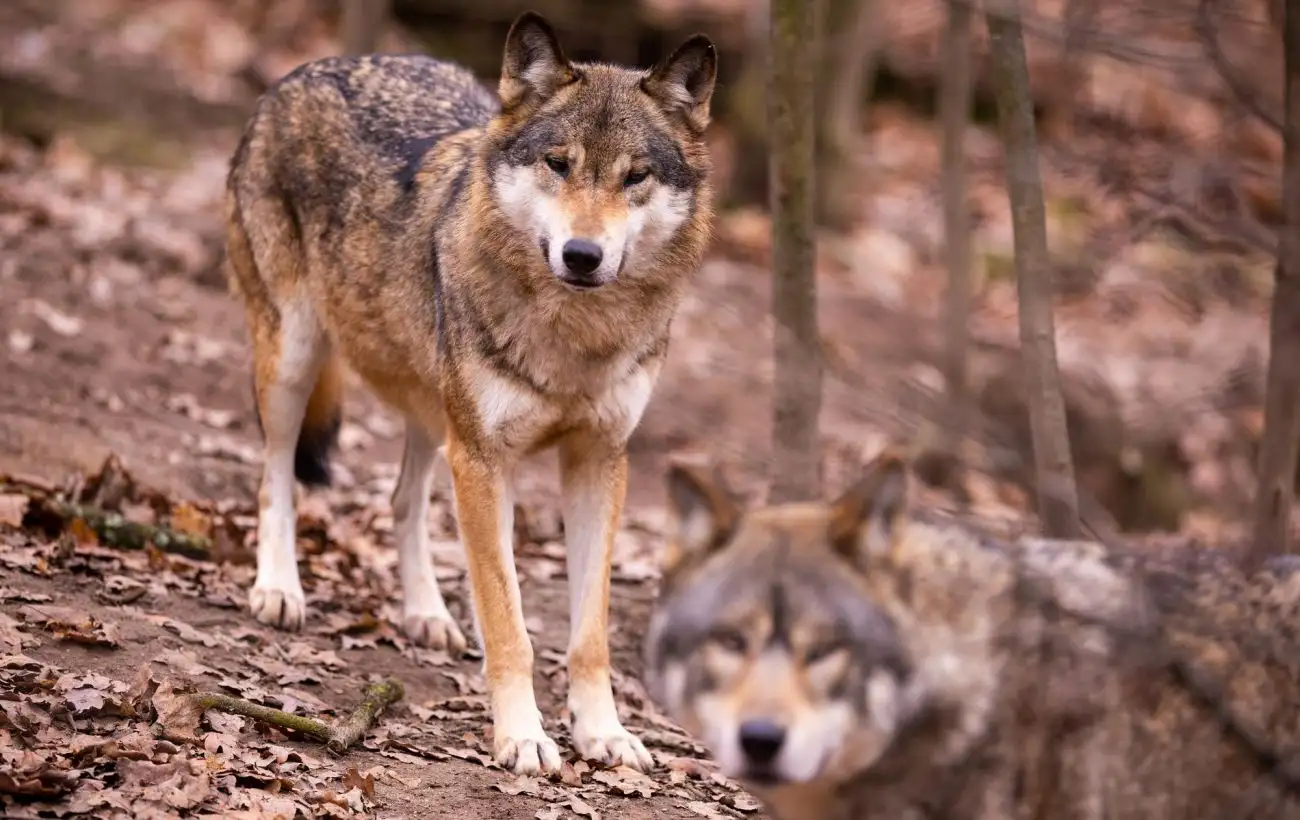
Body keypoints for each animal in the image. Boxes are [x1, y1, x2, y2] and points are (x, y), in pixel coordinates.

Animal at [228, 9, 717, 774]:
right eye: (558, 163)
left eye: (635, 176)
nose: (583, 255)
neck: (575, 338)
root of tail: (305, 69)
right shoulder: (486, 463)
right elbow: (508, 621)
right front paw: (522, 736)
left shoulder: (599, 463)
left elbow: (590, 634)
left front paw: (603, 733)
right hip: (295, 361)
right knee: (274, 473)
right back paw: (278, 588)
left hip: (435, 413)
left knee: (402, 501)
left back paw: (426, 614)